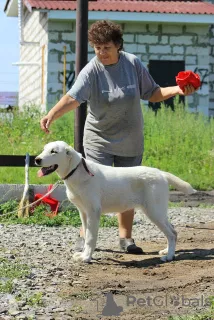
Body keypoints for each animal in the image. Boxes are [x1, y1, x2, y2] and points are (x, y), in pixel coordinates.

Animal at [35, 141, 197, 264]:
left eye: (54, 151)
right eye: (44, 149)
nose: (36, 159)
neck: (76, 172)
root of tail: (161, 173)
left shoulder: (94, 212)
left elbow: (91, 238)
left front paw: (87, 258)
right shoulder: (83, 213)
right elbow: (86, 235)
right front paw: (83, 254)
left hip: (154, 211)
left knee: (171, 233)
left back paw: (169, 256)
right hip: (157, 212)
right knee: (173, 231)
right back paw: (167, 251)